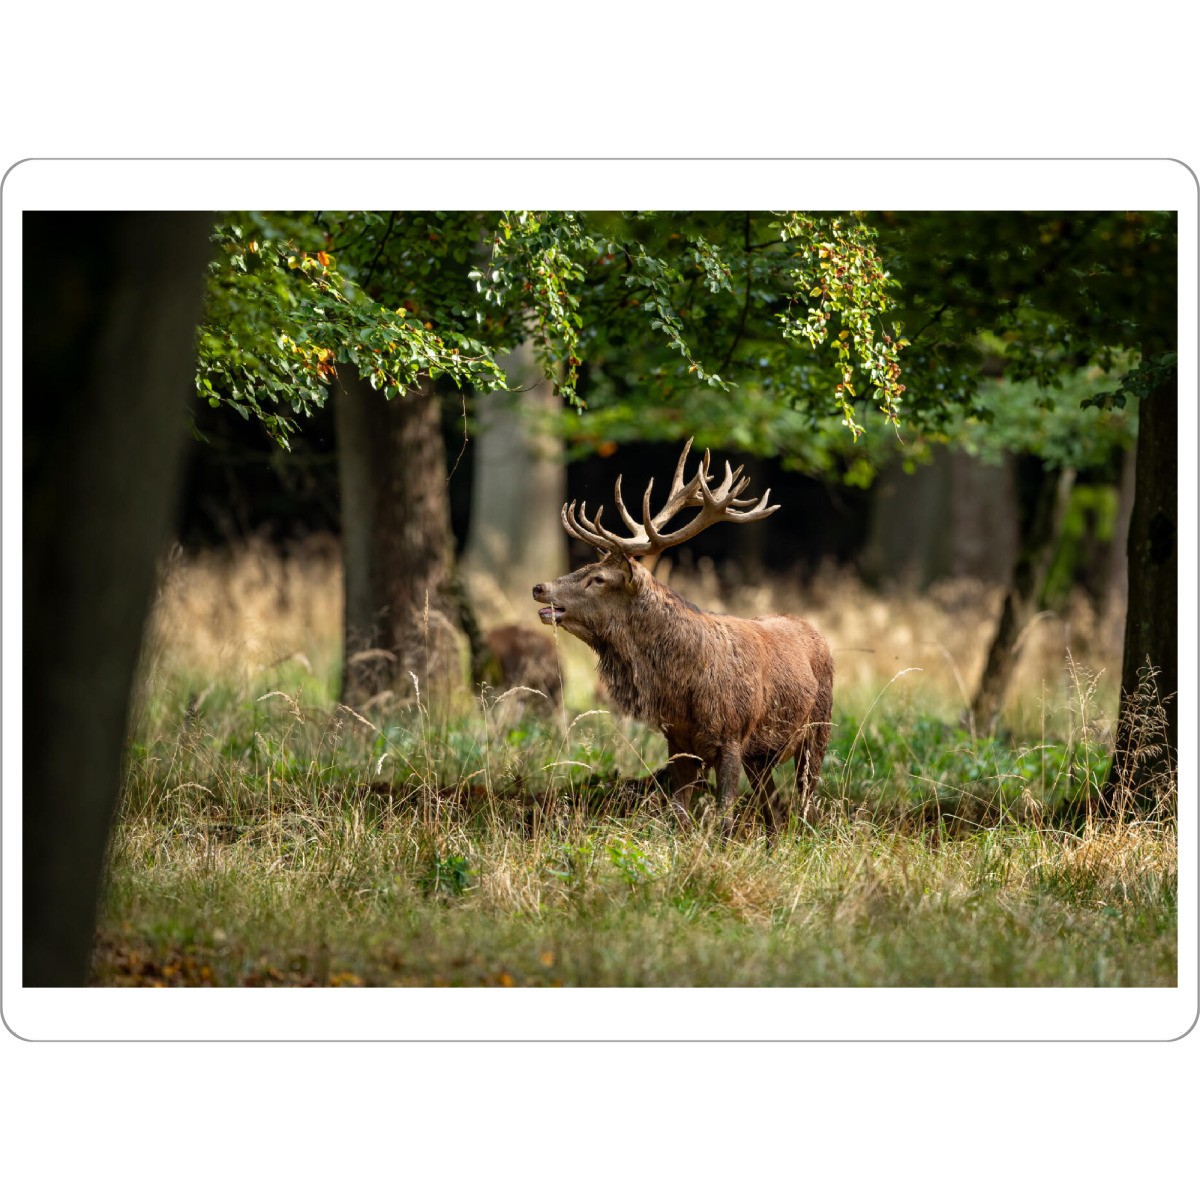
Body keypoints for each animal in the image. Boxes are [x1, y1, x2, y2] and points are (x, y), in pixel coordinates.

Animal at [531, 439, 833, 835]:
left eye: (597, 578)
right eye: (585, 567)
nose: (539, 587)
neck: (685, 686)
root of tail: (815, 631)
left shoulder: (732, 734)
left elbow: (724, 816)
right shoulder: (676, 739)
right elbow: (677, 813)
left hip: (819, 729)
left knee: (804, 801)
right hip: (761, 755)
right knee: (773, 808)